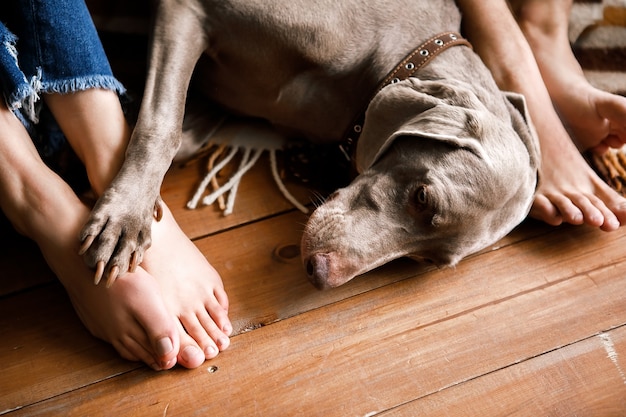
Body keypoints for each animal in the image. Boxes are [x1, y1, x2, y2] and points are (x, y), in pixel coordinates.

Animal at [78, 0, 536, 288]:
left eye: (425, 260)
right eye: (422, 198)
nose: (319, 273)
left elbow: (184, 134)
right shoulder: (185, 11)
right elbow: (163, 122)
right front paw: (127, 216)